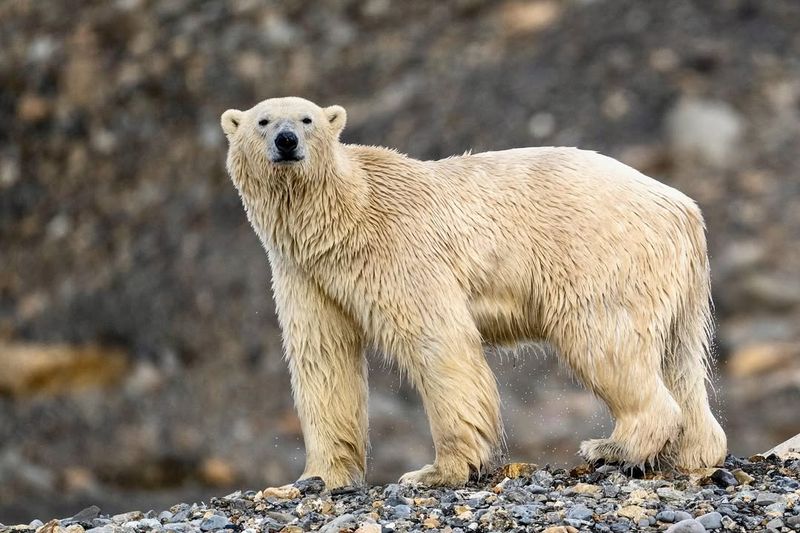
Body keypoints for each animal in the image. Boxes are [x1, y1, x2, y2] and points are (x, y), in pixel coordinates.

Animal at [219, 95, 724, 486]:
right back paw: (695, 451)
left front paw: (438, 471)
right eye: (263, 120)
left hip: (602, 257)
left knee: (604, 341)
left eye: (306, 119)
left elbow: (439, 342)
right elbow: (322, 358)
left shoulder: (400, 252)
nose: (287, 140)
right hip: (675, 283)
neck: (345, 217)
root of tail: (683, 208)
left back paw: (613, 448)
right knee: (680, 360)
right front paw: (317, 477)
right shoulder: (305, 275)